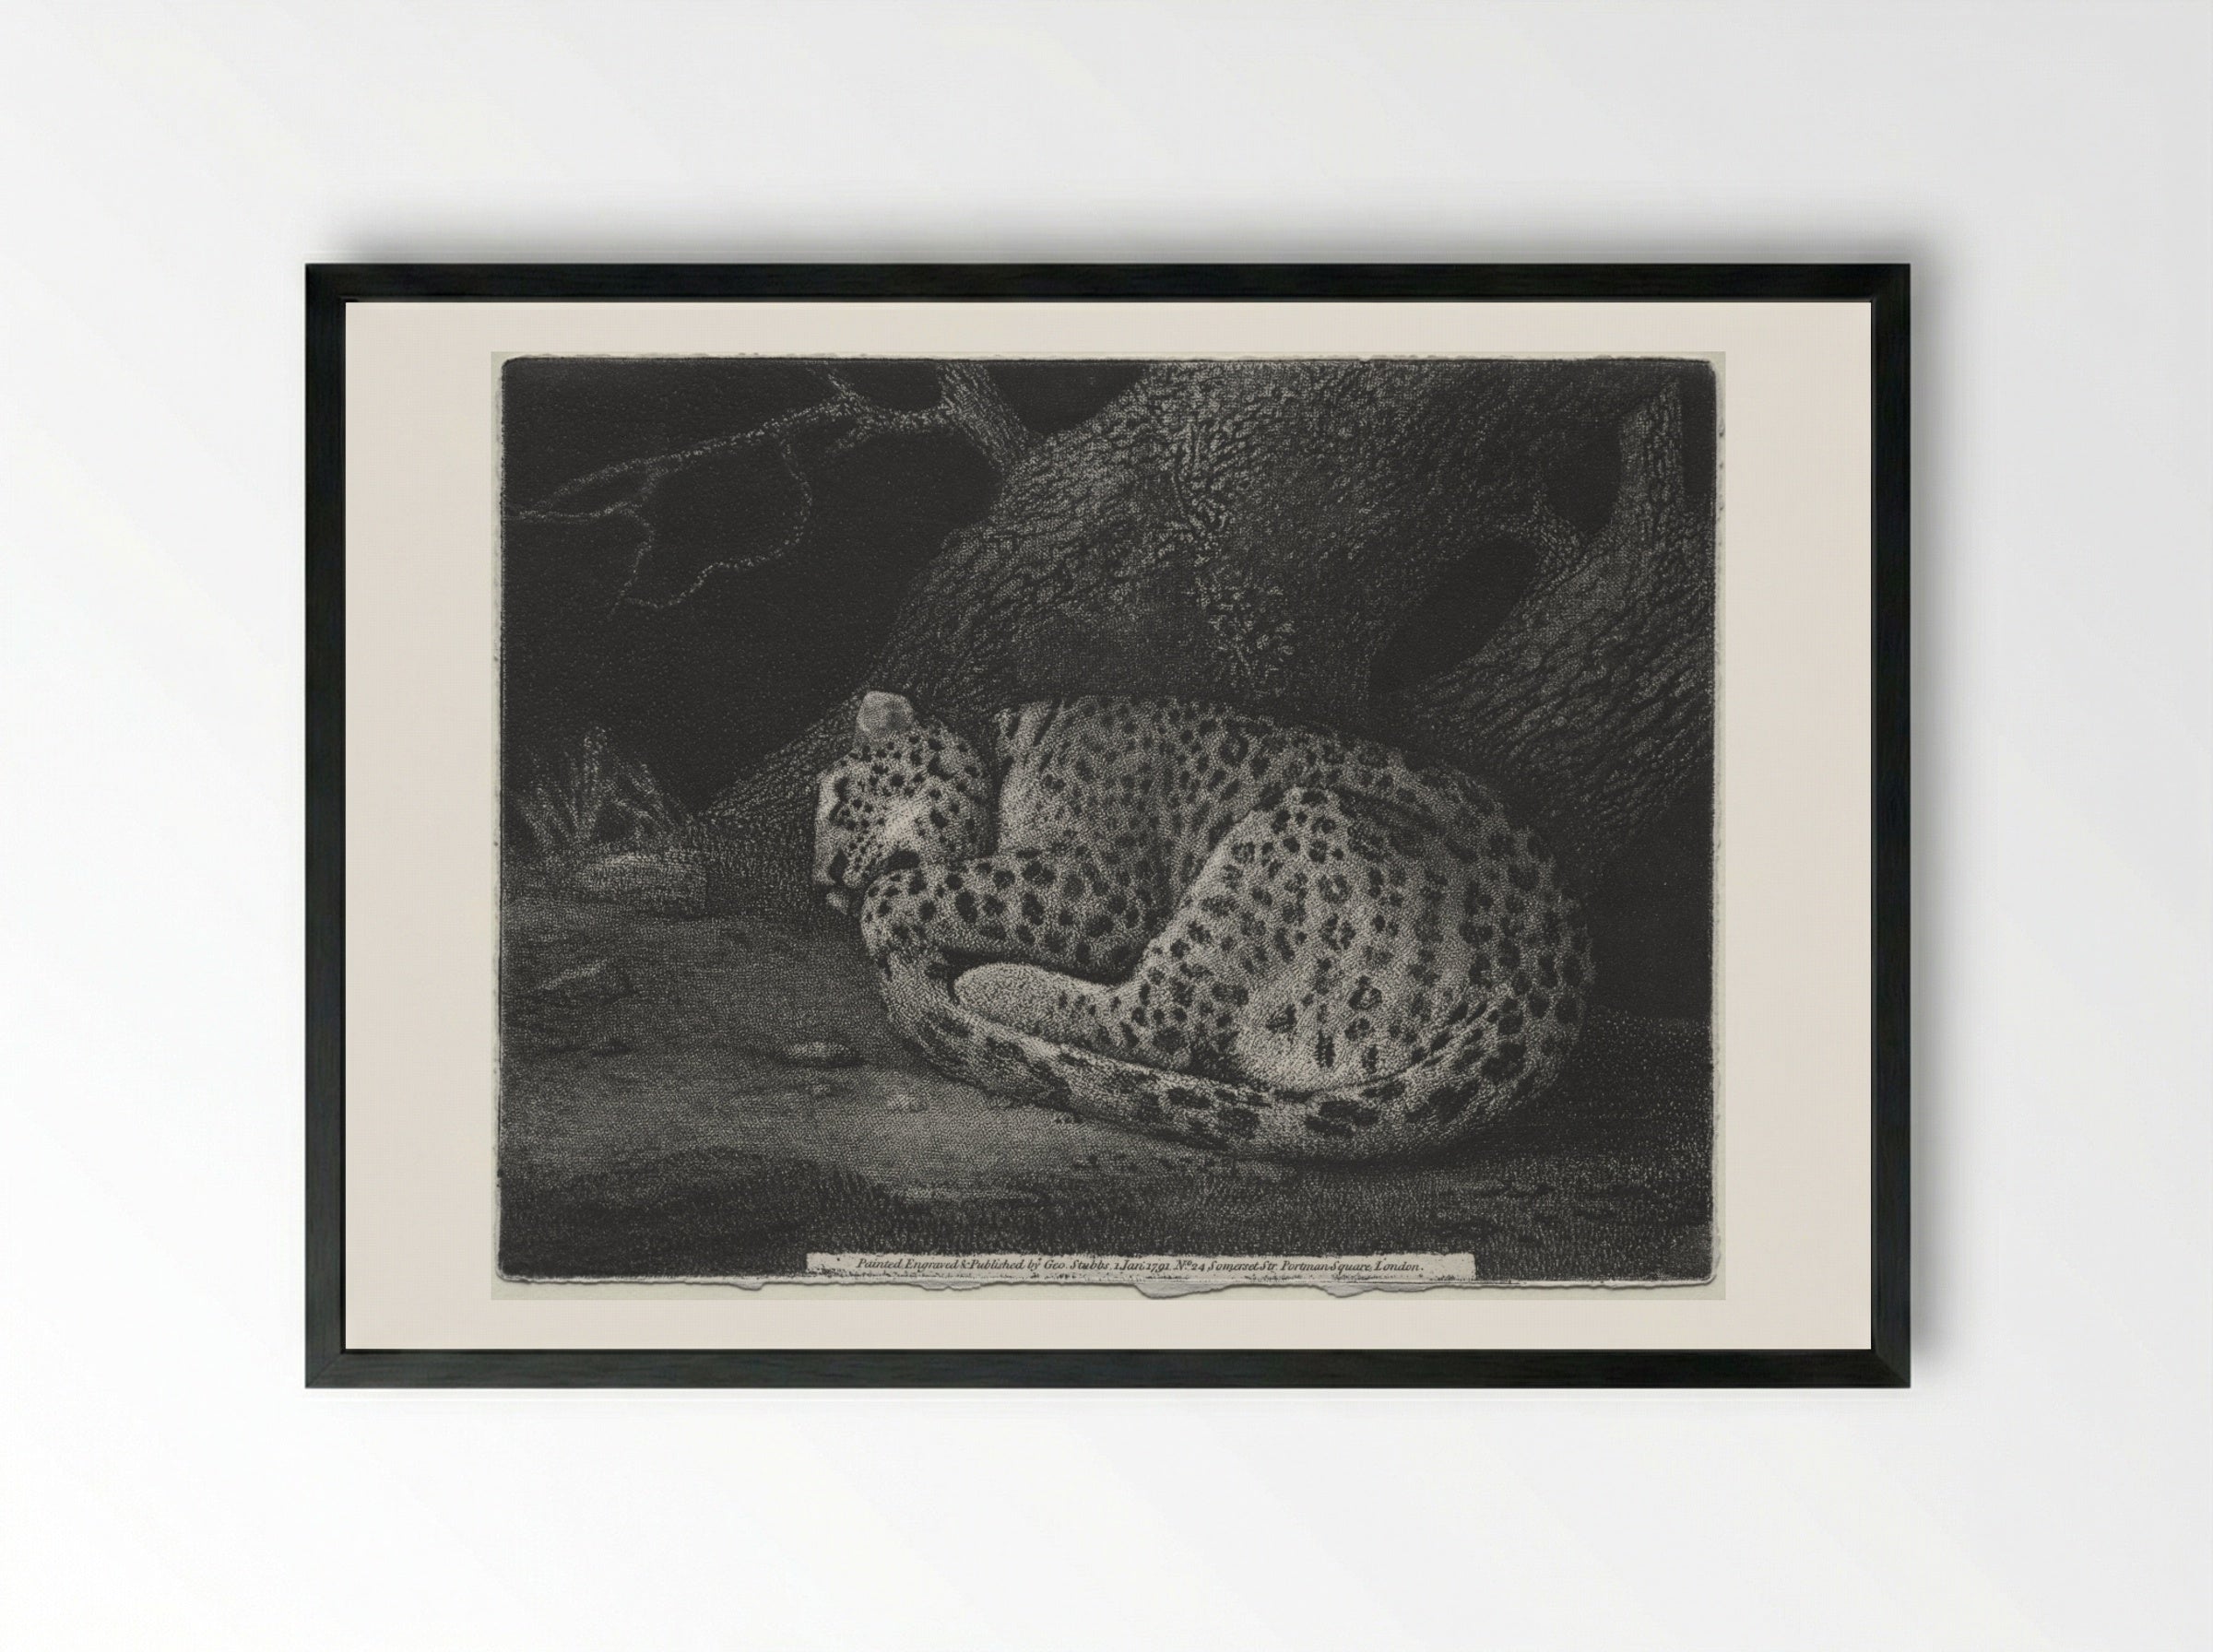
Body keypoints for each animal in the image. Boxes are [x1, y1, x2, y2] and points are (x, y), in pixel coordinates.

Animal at [812, 690, 1591, 1162]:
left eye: (841, 800)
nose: (823, 886)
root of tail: (1549, 987)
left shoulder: (1100, 888)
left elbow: (929, 885)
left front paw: (884, 915)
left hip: (1288, 834)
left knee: (1158, 1021)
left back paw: (986, 984)